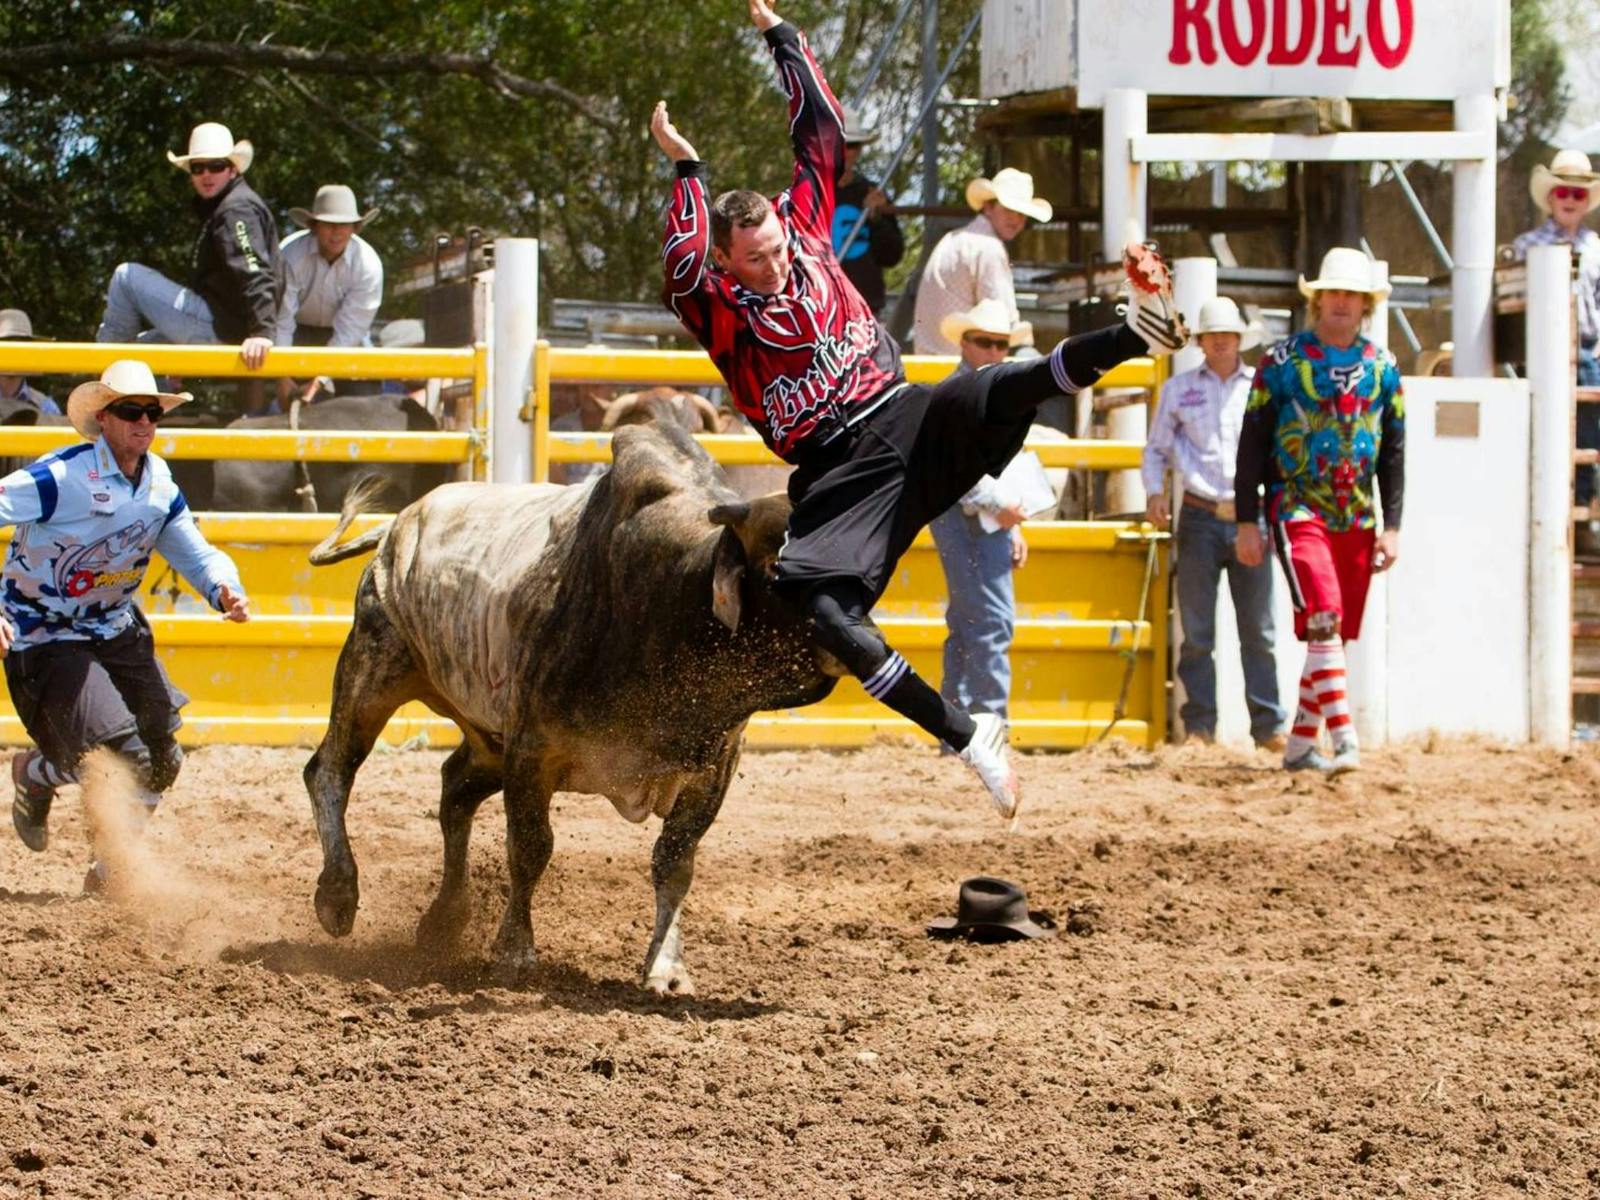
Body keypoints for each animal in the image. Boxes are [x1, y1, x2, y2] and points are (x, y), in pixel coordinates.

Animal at [304, 422, 844, 998]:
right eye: (779, 563)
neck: (669, 602)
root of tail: (394, 530)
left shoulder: (713, 770)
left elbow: (674, 863)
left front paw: (666, 967)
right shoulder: (532, 752)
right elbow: (530, 848)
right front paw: (515, 954)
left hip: (487, 737)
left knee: (455, 790)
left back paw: (445, 920)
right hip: (374, 668)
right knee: (330, 771)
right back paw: (338, 894)